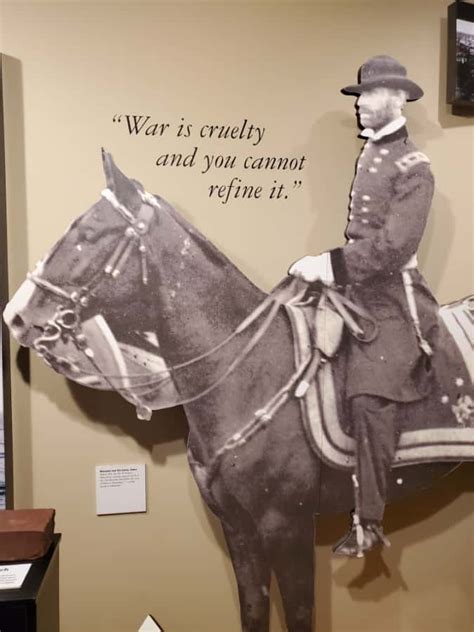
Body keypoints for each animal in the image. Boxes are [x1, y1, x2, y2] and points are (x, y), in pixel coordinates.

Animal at [4, 151, 470, 628]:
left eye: (90, 232)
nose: (16, 315)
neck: (247, 372)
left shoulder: (288, 526)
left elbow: (299, 614)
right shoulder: (238, 528)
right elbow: (253, 609)